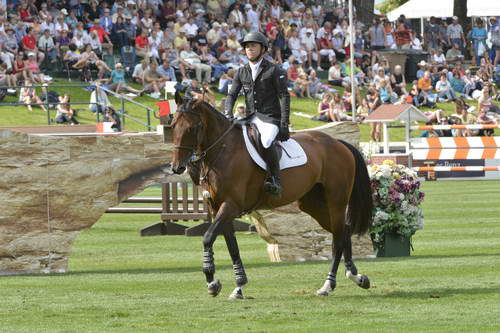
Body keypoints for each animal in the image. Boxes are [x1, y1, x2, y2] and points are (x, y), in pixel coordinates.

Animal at [170, 91, 374, 298]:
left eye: (192, 128)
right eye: (172, 126)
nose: (177, 167)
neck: (223, 150)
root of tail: (339, 143)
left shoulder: (230, 205)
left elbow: (208, 237)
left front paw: (212, 281)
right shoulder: (217, 207)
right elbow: (231, 246)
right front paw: (238, 285)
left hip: (336, 202)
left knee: (338, 238)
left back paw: (328, 284)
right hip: (314, 205)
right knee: (344, 232)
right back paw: (356, 276)